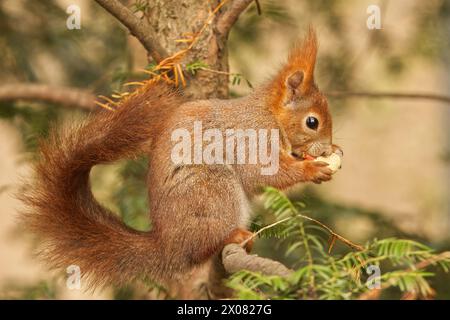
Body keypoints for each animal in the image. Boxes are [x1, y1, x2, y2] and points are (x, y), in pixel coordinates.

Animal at [21, 30, 342, 288]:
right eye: (312, 122)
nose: (327, 147)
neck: (269, 114)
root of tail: (168, 246)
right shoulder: (253, 138)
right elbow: (263, 174)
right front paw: (312, 169)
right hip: (213, 190)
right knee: (202, 246)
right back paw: (233, 236)